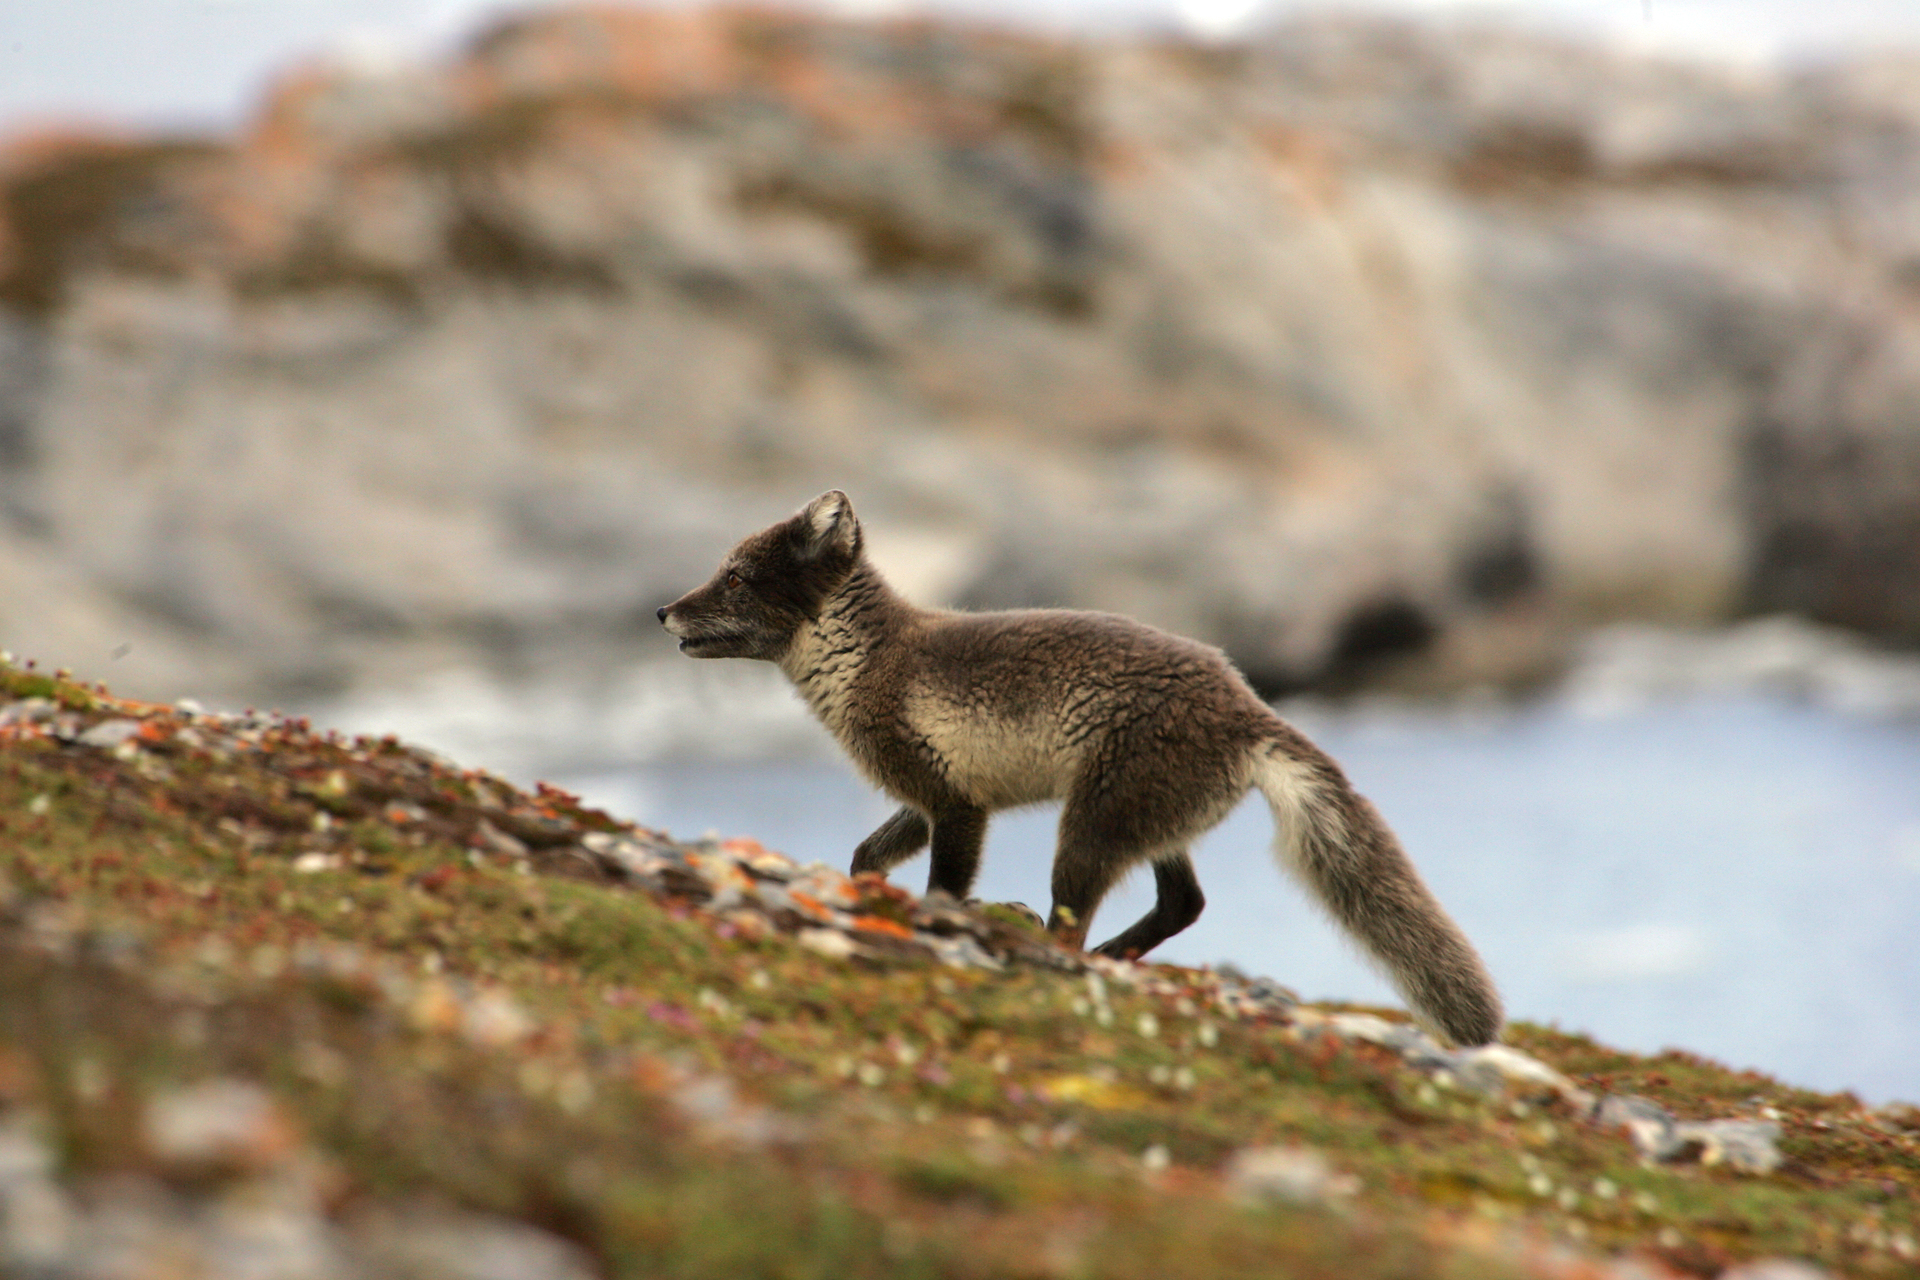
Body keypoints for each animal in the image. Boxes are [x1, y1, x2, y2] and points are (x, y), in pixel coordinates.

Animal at [658, 491, 1502, 1045]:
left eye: (736, 577)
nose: (662, 611)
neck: (865, 661)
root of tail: (1252, 708)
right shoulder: (930, 797)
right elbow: (868, 852)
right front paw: (868, 892)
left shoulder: (957, 804)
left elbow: (941, 885)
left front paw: (936, 923)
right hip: (1150, 821)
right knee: (1183, 904)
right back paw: (1109, 958)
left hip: (1090, 828)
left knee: (1088, 915)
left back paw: (1064, 955)